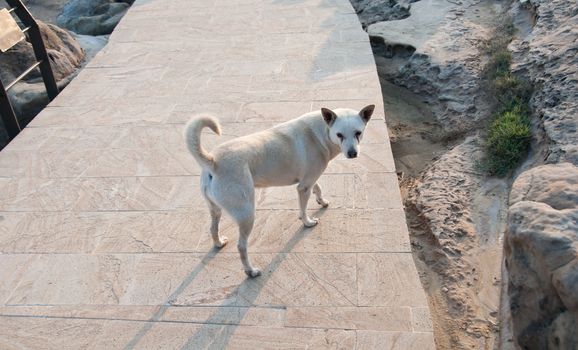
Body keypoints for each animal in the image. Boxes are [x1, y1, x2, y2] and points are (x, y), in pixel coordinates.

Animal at [184, 105, 374, 278]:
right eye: (339, 135)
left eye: (358, 133)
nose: (352, 153)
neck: (321, 132)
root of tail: (213, 161)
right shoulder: (303, 187)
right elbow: (304, 209)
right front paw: (307, 222)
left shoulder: (308, 179)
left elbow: (318, 187)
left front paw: (322, 201)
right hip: (247, 214)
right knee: (241, 246)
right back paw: (251, 271)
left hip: (215, 209)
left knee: (212, 228)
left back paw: (218, 243)